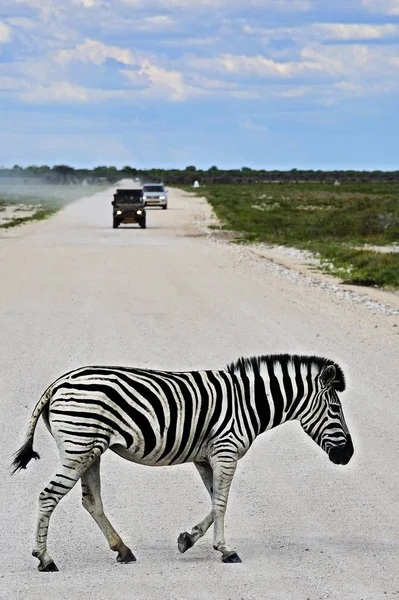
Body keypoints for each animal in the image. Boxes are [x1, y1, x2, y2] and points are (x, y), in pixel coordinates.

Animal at [12, 354, 354, 568]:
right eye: (335, 409)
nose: (348, 455)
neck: (249, 403)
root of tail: (58, 382)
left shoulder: (206, 458)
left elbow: (215, 502)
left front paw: (187, 539)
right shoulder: (225, 452)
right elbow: (221, 503)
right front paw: (226, 551)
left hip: (90, 450)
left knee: (91, 501)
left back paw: (123, 550)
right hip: (79, 448)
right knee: (48, 495)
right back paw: (45, 559)